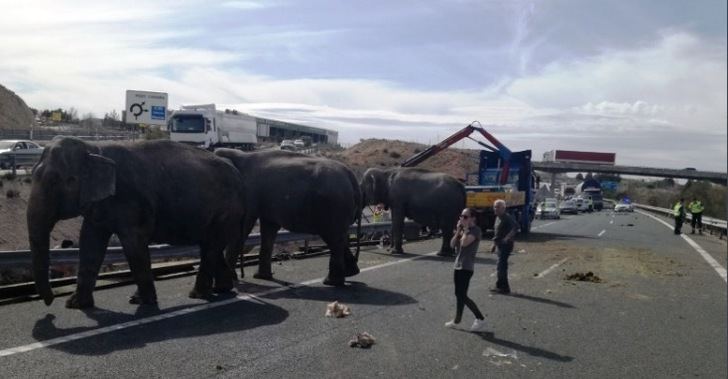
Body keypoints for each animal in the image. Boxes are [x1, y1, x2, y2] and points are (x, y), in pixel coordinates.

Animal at [28, 138, 245, 310]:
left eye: (56, 181)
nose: (49, 301)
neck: (94, 148)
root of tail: (237, 172)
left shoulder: (130, 200)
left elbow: (133, 244)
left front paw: (142, 301)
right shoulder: (99, 204)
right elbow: (90, 242)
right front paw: (75, 305)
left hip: (226, 211)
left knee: (211, 247)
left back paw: (198, 294)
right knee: (211, 247)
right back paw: (222, 289)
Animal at [215, 150, 362, 286]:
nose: (241, 276)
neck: (240, 155)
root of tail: (351, 176)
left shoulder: (250, 194)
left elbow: (243, 227)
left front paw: (232, 279)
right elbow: (268, 229)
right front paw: (261, 277)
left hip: (333, 206)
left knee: (333, 239)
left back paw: (331, 282)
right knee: (339, 238)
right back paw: (351, 273)